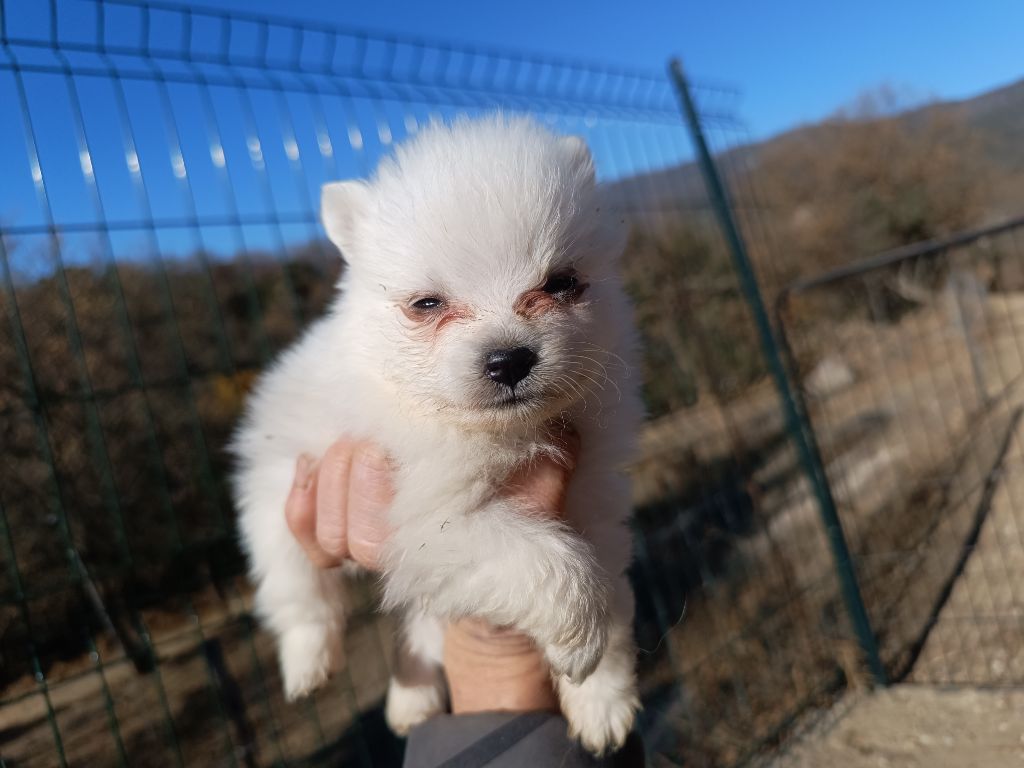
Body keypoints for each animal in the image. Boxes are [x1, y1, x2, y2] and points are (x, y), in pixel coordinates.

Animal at [233, 114, 643, 754]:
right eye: (427, 304)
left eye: (561, 283)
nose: (508, 359)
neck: (494, 432)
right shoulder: (432, 523)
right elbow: (554, 564)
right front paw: (580, 640)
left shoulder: (592, 502)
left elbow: (613, 594)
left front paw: (602, 698)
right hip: (276, 502)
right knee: (299, 594)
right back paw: (309, 666)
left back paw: (411, 701)